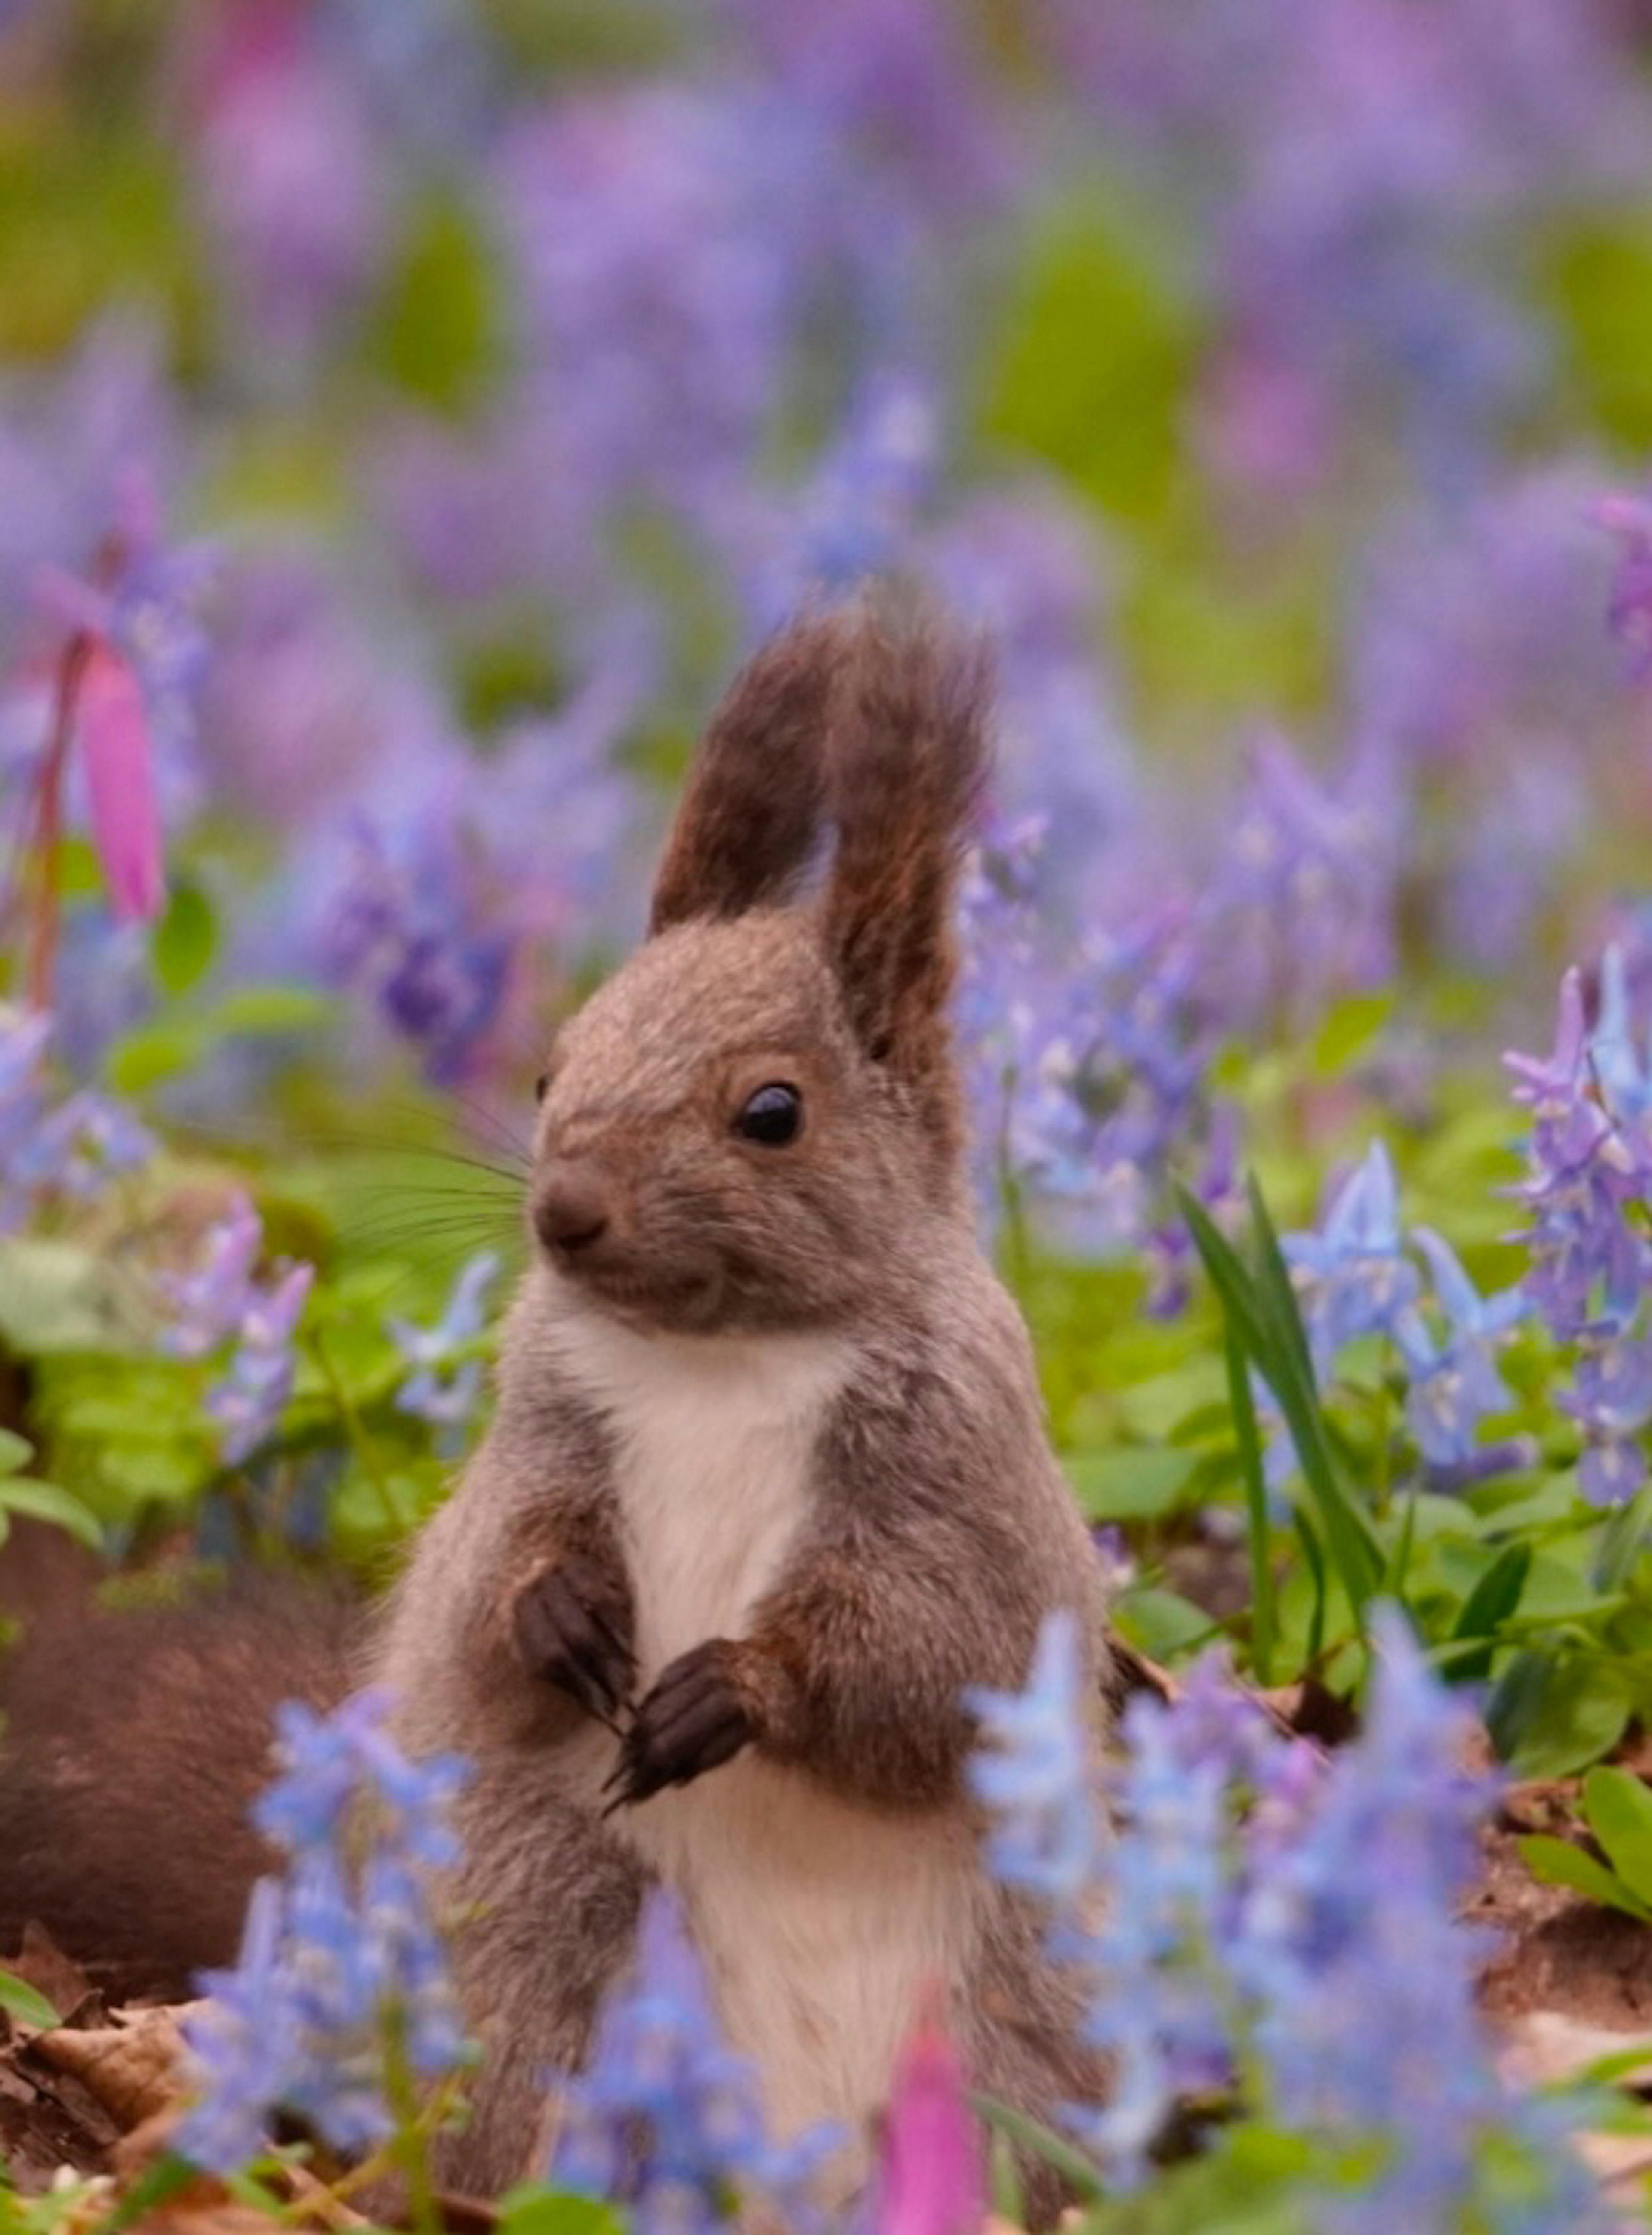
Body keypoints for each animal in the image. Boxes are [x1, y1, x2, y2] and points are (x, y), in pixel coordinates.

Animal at [3, 608, 1113, 2217]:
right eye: (550, 1066)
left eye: (772, 1112)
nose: (566, 1211)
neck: (723, 1352)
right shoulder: (537, 1432)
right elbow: (488, 1586)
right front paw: (555, 1611)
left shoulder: (964, 1471)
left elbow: (936, 1655)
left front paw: (742, 1684)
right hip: (548, 1926)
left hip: (1007, 2016)